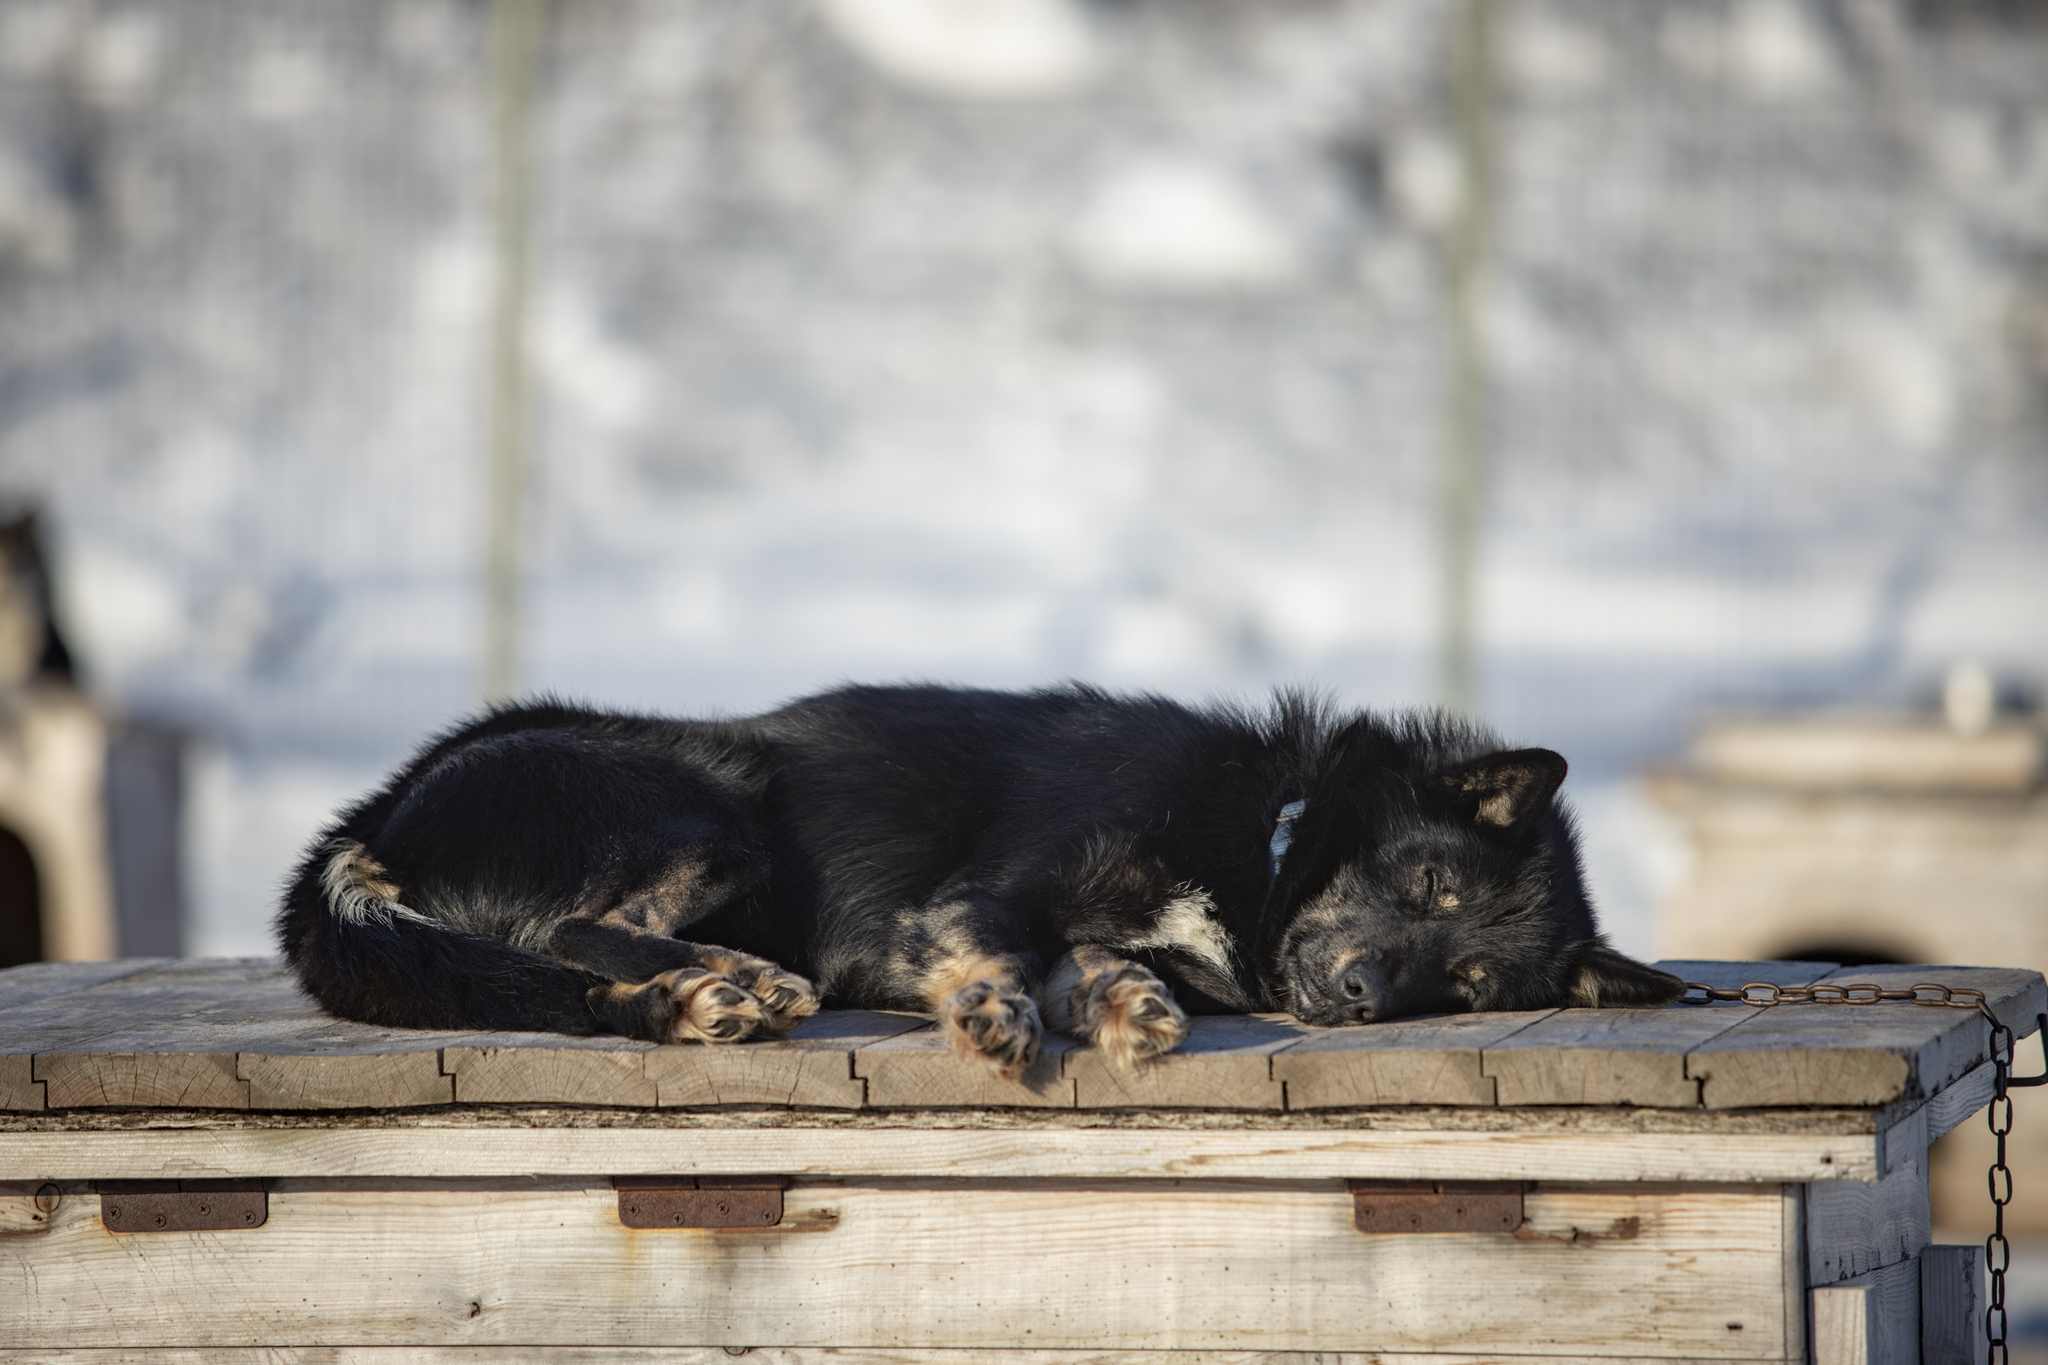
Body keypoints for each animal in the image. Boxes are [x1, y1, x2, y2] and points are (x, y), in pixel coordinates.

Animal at [276, 683, 1679, 1080]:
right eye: (1429, 882)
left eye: (1469, 981)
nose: (1359, 995)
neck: (1263, 836)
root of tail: (385, 806)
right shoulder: (985, 892)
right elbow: (1003, 953)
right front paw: (992, 1015)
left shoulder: (1100, 924)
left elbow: (1098, 964)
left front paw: (1125, 1008)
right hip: (707, 805)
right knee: (579, 929)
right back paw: (723, 980)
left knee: (569, 974)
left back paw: (706, 998)